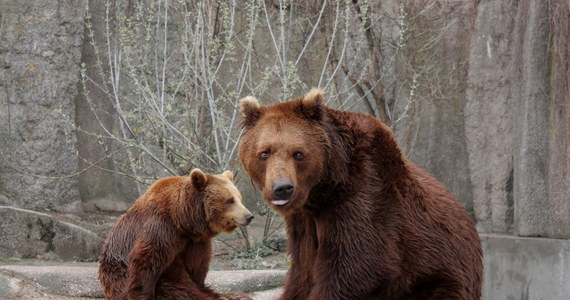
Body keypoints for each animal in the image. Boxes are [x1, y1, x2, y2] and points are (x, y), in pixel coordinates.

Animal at [98, 169, 253, 300]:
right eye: (230, 200)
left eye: (240, 198)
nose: (249, 216)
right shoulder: (161, 228)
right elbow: (145, 261)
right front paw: (142, 295)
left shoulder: (195, 242)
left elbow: (196, 268)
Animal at [237, 89, 482, 300]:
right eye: (264, 153)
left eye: (298, 153)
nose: (282, 187)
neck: (322, 191)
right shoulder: (303, 222)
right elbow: (303, 270)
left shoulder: (363, 199)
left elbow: (356, 267)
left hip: (440, 276)